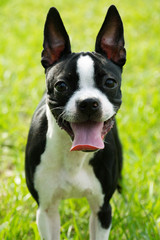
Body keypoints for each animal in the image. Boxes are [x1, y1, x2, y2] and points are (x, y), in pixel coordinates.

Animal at [25, 4, 126, 239]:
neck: (75, 157)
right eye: (61, 86)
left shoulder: (102, 210)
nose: (88, 103)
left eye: (110, 83)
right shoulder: (46, 211)